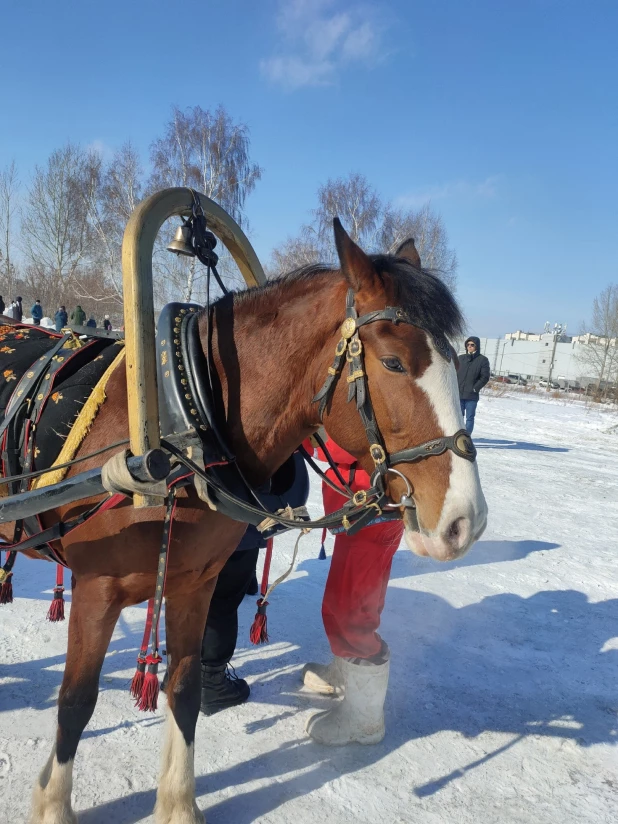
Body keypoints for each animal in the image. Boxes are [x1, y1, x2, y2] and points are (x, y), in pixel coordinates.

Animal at [1, 220, 486, 824]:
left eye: (457, 364)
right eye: (395, 362)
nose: (466, 520)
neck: (178, 431)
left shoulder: (194, 581)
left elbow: (183, 688)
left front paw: (178, 803)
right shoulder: (97, 589)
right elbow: (75, 701)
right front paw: (53, 803)